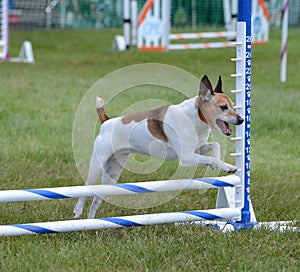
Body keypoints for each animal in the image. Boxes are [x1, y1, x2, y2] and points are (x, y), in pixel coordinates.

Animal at [73, 75, 244, 219]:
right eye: (223, 107)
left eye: (233, 106)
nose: (241, 120)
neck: (194, 117)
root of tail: (107, 122)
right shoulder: (186, 157)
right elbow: (212, 158)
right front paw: (221, 165)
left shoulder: (196, 149)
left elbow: (215, 146)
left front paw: (226, 165)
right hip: (97, 164)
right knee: (86, 186)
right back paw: (78, 210)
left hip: (113, 172)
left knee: (96, 198)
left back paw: (90, 222)